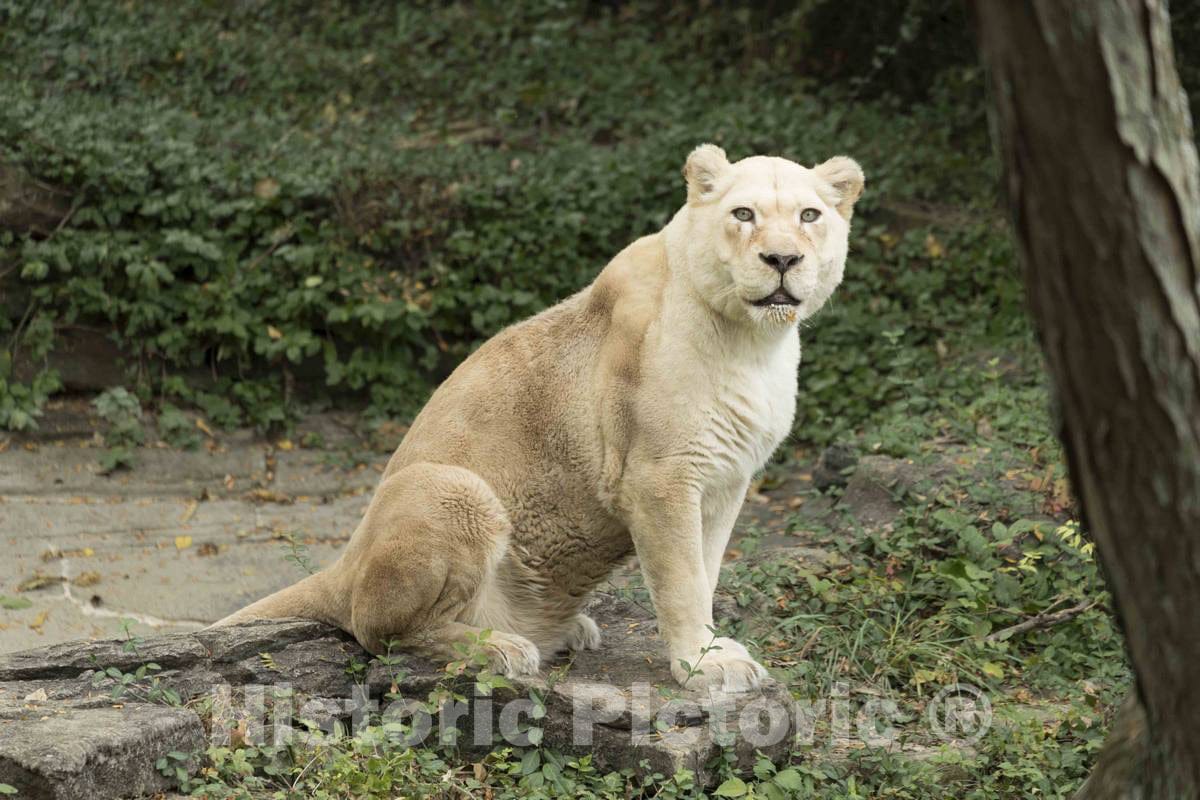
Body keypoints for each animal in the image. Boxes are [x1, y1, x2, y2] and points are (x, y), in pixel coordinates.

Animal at [217, 145, 864, 692]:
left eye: (809, 215)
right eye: (743, 214)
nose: (782, 258)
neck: (753, 343)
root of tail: (343, 564)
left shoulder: (725, 479)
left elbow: (705, 571)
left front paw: (711, 653)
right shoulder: (658, 475)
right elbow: (682, 580)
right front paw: (704, 666)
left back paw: (562, 630)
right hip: (452, 490)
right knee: (378, 628)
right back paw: (500, 647)